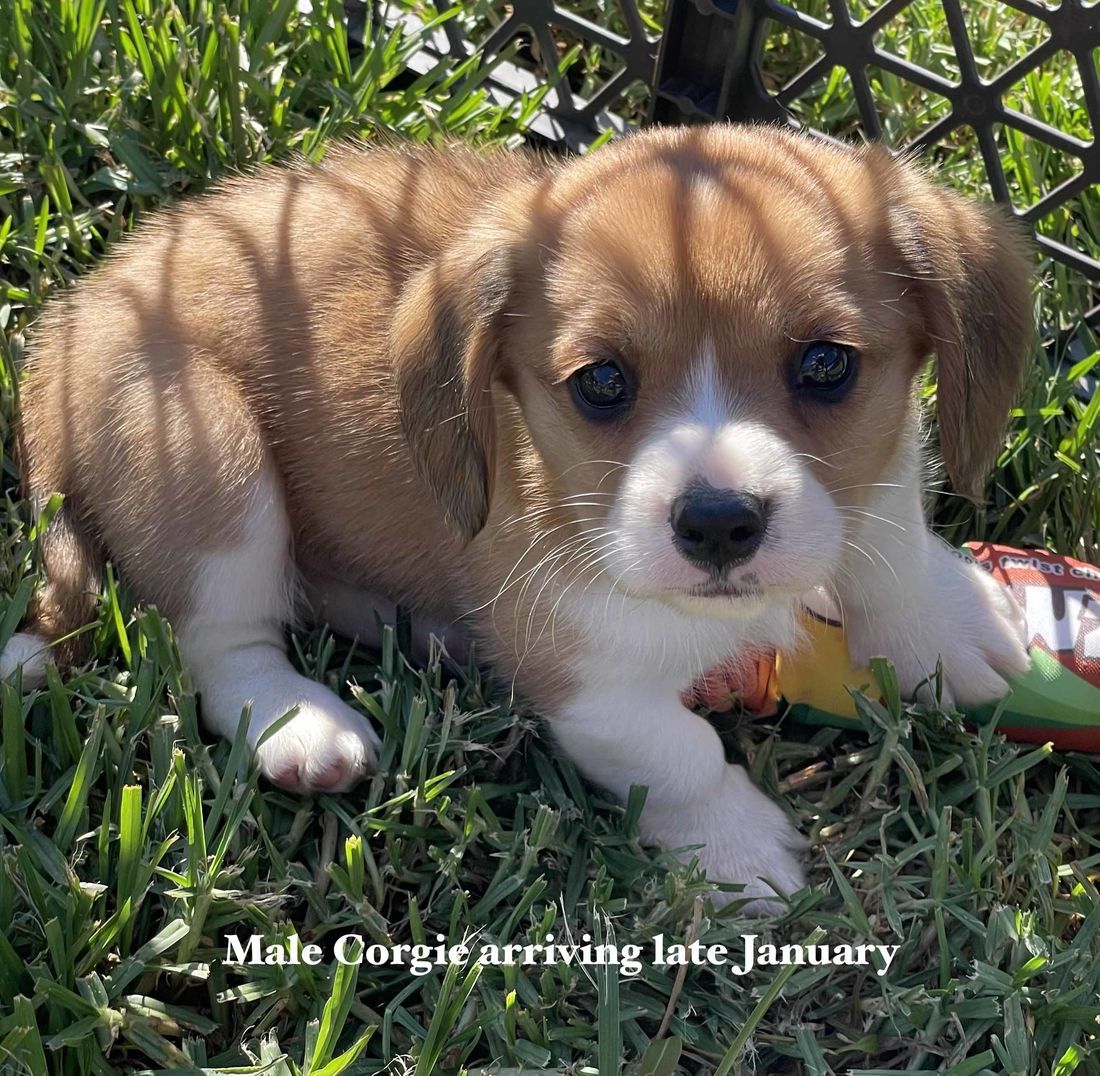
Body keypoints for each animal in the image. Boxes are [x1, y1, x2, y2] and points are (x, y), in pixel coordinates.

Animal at [2, 121, 1029, 902]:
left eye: (825, 364)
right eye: (601, 382)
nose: (717, 524)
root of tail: (67, 325)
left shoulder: (876, 483)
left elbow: (889, 545)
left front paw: (944, 626)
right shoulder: (582, 676)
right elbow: (679, 749)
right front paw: (735, 846)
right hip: (213, 461)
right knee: (220, 644)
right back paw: (300, 724)